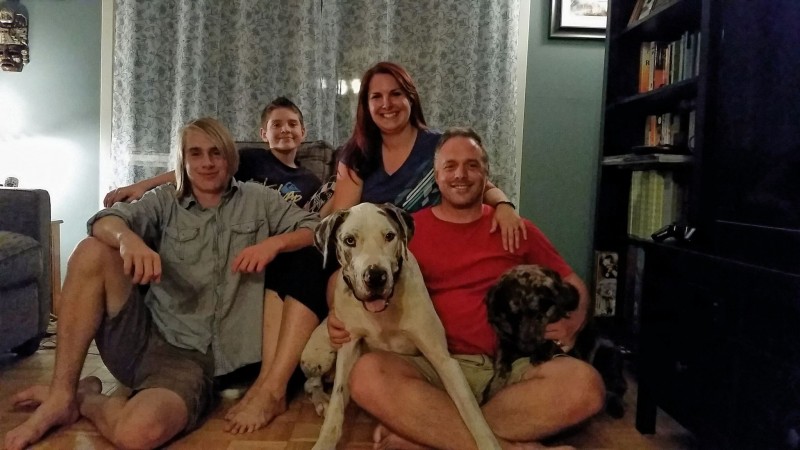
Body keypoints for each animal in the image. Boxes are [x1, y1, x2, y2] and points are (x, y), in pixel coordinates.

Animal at [300, 203, 501, 450]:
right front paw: (325, 440)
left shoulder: (443, 359)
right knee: (312, 383)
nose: (375, 276)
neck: (383, 312)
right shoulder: (348, 348)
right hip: (317, 355)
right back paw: (322, 401)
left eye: (389, 236)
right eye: (349, 240)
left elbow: (471, 412)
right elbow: (337, 402)